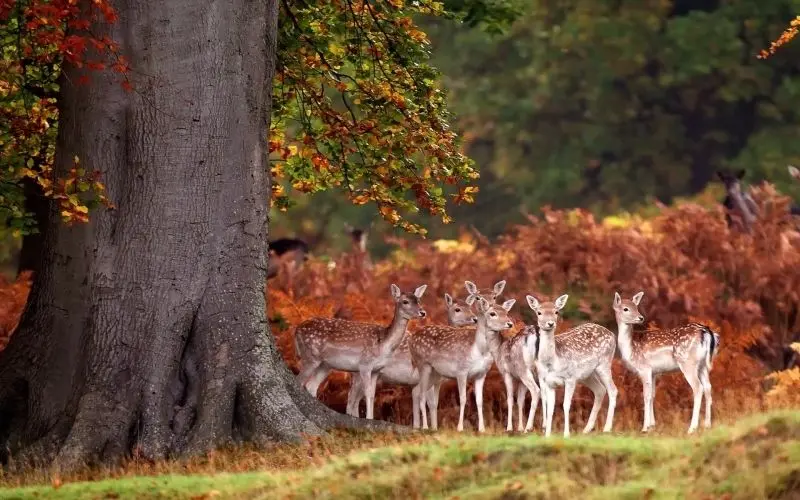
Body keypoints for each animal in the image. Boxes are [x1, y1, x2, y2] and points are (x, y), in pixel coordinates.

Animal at [294, 284, 428, 420]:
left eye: (419, 300)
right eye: (405, 301)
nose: (422, 312)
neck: (383, 345)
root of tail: (297, 330)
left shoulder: (376, 370)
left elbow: (372, 394)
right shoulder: (365, 364)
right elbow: (367, 393)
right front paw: (369, 418)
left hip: (325, 365)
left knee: (311, 386)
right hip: (310, 356)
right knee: (299, 381)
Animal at [344, 292, 476, 428]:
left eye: (470, 307)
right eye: (457, 309)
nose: (475, 319)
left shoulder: (418, 383)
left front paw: (419, 427)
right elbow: (431, 404)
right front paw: (431, 428)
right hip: (359, 373)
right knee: (352, 399)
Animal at [410, 294, 516, 432]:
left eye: (506, 312)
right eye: (492, 313)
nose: (510, 323)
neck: (479, 350)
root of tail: (412, 339)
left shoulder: (481, 374)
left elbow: (479, 401)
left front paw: (482, 429)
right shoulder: (461, 371)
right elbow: (463, 398)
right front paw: (459, 428)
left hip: (435, 373)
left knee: (417, 391)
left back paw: (422, 427)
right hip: (423, 364)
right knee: (422, 394)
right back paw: (425, 427)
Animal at [528, 294, 620, 436]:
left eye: (556, 311)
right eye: (539, 312)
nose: (550, 323)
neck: (552, 362)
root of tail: (612, 334)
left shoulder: (570, 378)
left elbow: (566, 405)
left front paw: (566, 434)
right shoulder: (548, 382)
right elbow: (550, 408)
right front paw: (547, 435)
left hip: (604, 363)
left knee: (613, 390)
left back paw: (607, 428)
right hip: (587, 375)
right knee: (600, 390)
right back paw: (587, 429)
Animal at [612, 292, 720, 434]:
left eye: (636, 306)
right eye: (626, 308)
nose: (640, 317)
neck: (631, 348)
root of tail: (706, 332)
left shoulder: (644, 368)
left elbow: (646, 395)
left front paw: (645, 428)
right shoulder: (653, 372)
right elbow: (652, 395)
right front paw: (652, 425)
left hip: (687, 362)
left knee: (698, 388)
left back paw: (692, 428)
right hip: (702, 365)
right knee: (708, 387)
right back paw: (707, 425)